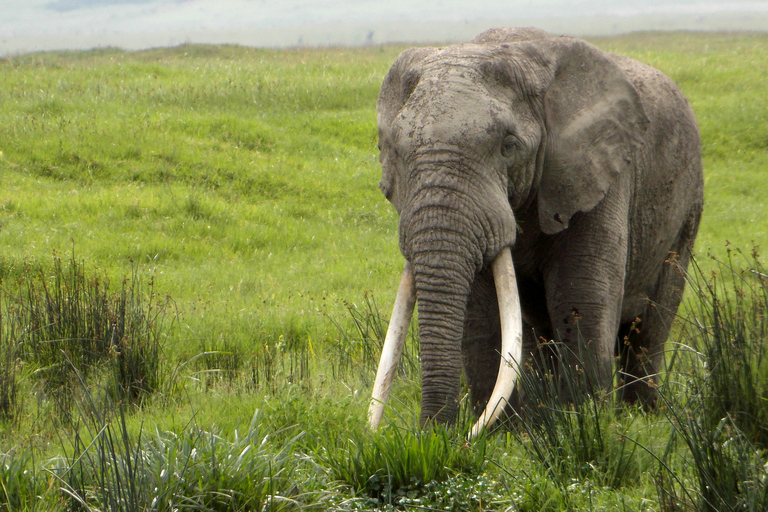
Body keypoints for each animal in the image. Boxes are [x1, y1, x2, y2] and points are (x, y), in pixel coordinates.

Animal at [366, 28, 704, 436]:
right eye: (396, 151)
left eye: (509, 146)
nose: (434, 436)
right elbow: (482, 313)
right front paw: (507, 435)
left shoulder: (596, 176)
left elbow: (581, 298)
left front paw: (583, 424)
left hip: (687, 208)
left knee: (649, 328)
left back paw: (643, 414)